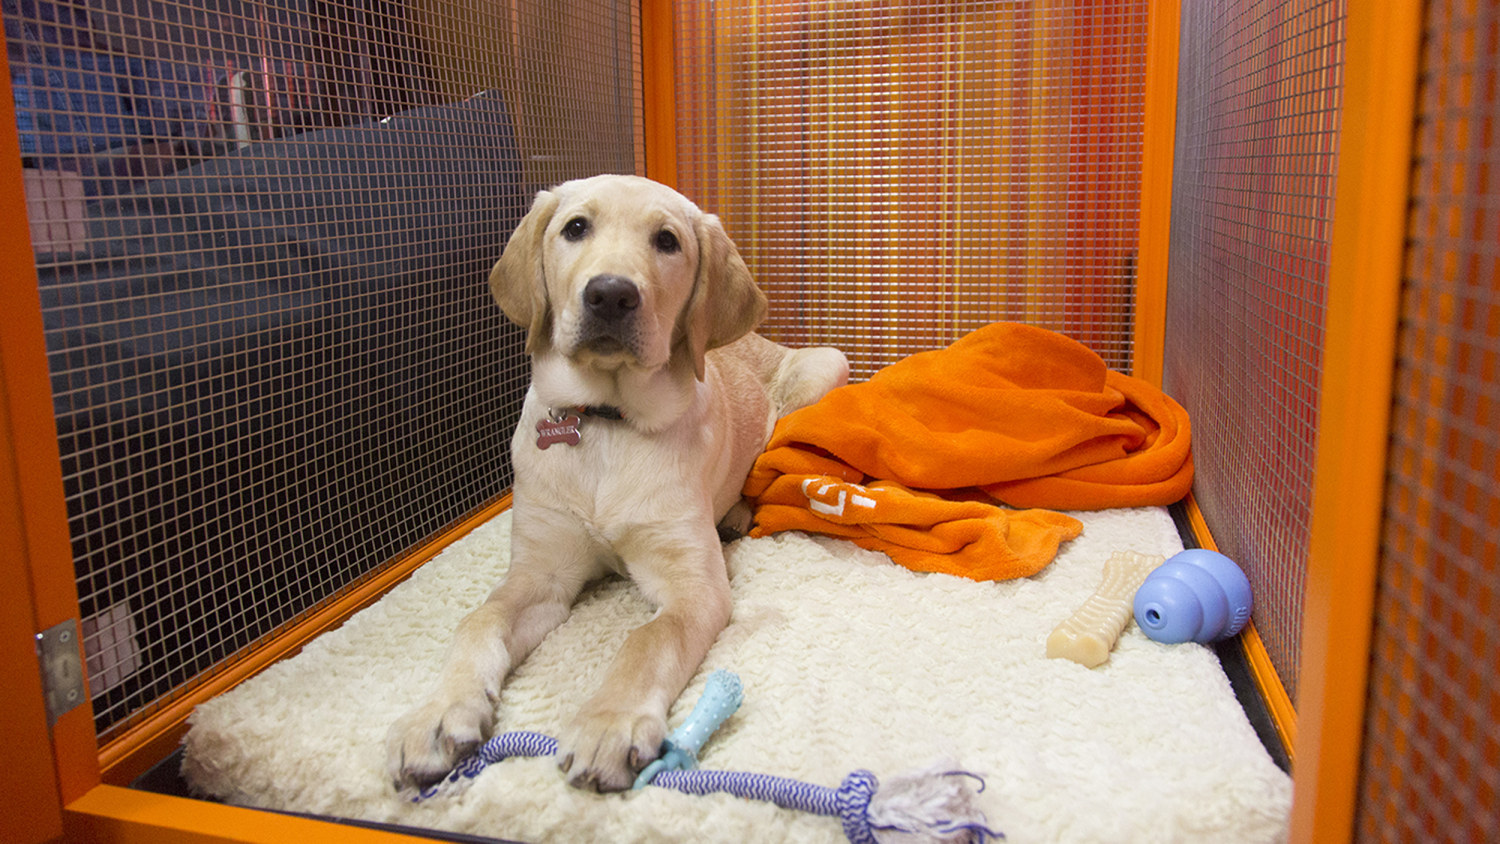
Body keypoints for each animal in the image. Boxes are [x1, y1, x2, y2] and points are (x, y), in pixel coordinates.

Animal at [387, 175, 852, 797]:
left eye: (667, 241)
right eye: (576, 228)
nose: (610, 295)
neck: (608, 421)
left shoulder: (692, 585)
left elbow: (646, 641)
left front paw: (610, 722)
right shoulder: (540, 573)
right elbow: (478, 619)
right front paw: (437, 714)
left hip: (824, 369)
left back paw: (736, 515)